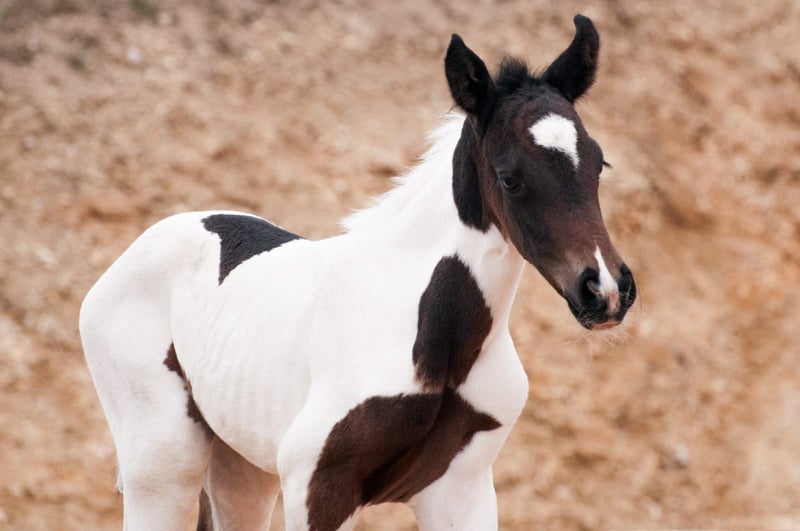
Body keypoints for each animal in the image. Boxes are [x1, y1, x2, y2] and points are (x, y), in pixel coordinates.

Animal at [79, 14, 636, 531]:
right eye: (509, 178)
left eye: (599, 164)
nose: (605, 291)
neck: (428, 338)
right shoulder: (319, 485)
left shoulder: (463, 488)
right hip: (163, 461)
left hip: (241, 467)